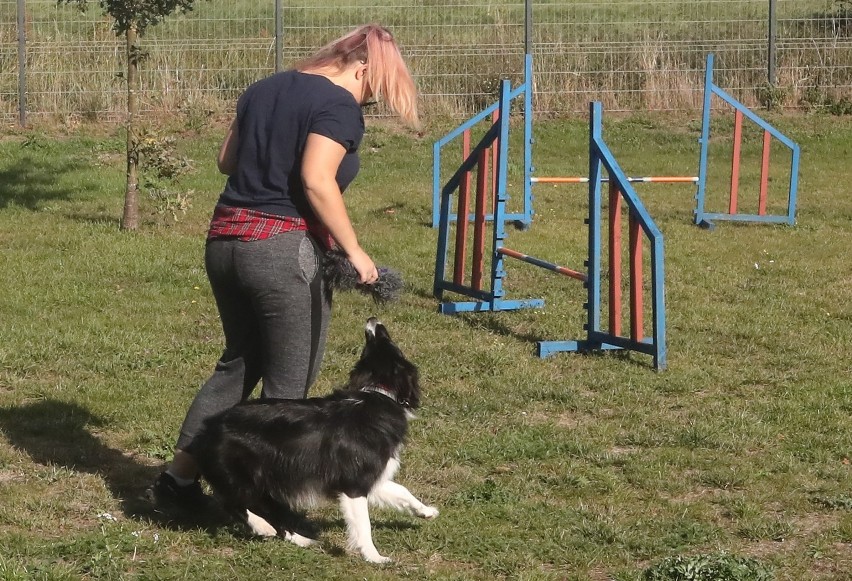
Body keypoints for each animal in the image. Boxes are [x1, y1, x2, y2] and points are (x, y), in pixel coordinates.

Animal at [188, 318, 440, 560]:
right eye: (384, 341)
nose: (373, 320)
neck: (379, 393)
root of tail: (205, 431)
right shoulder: (354, 484)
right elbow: (364, 525)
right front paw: (374, 557)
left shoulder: (367, 476)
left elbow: (401, 490)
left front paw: (426, 511)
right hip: (246, 477)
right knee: (232, 503)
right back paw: (262, 527)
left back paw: (302, 540)